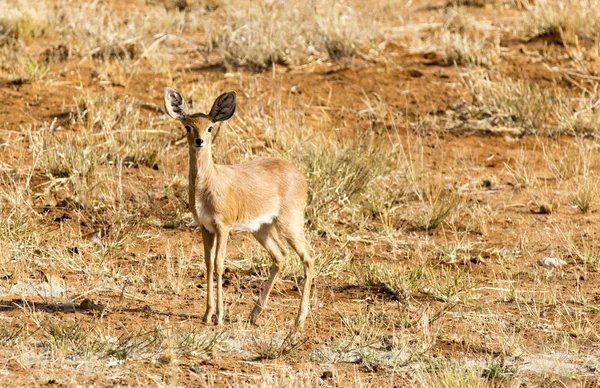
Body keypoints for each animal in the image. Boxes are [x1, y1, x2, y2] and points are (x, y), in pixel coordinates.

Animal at [164, 88, 314, 330]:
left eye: (210, 127)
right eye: (188, 126)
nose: (199, 141)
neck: (208, 183)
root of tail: (299, 174)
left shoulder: (223, 227)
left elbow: (218, 264)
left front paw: (219, 316)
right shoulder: (205, 227)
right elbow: (207, 264)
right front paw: (207, 314)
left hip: (290, 225)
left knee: (308, 256)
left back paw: (298, 321)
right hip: (261, 228)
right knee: (280, 256)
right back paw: (254, 315)